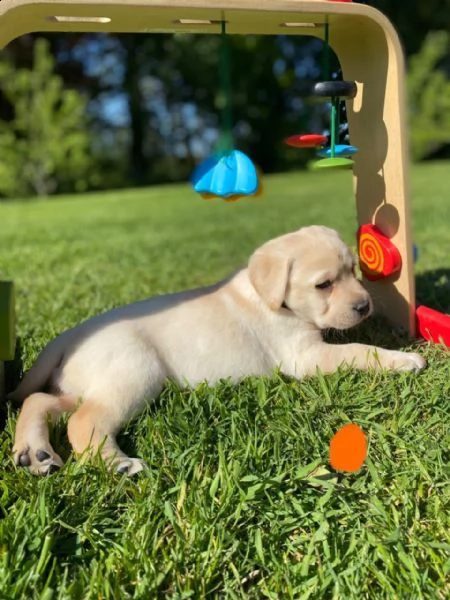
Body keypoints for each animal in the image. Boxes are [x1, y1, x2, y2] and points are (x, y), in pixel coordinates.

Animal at [10, 225, 426, 474]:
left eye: (354, 271)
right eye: (324, 284)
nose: (364, 306)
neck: (270, 298)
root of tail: (69, 335)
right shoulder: (303, 356)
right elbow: (358, 349)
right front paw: (404, 358)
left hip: (85, 384)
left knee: (39, 401)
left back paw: (35, 453)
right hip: (133, 373)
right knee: (83, 422)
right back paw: (118, 465)